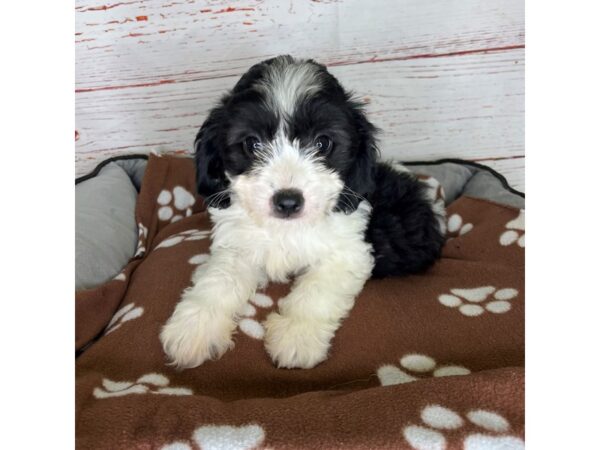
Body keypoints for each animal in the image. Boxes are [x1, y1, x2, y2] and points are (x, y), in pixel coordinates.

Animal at [159, 54, 446, 370]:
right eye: (252, 143)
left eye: (322, 143)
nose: (287, 201)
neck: (285, 228)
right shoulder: (237, 245)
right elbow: (219, 279)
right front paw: (194, 327)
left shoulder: (349, 252)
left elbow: (316, 292)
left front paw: (296, 337)